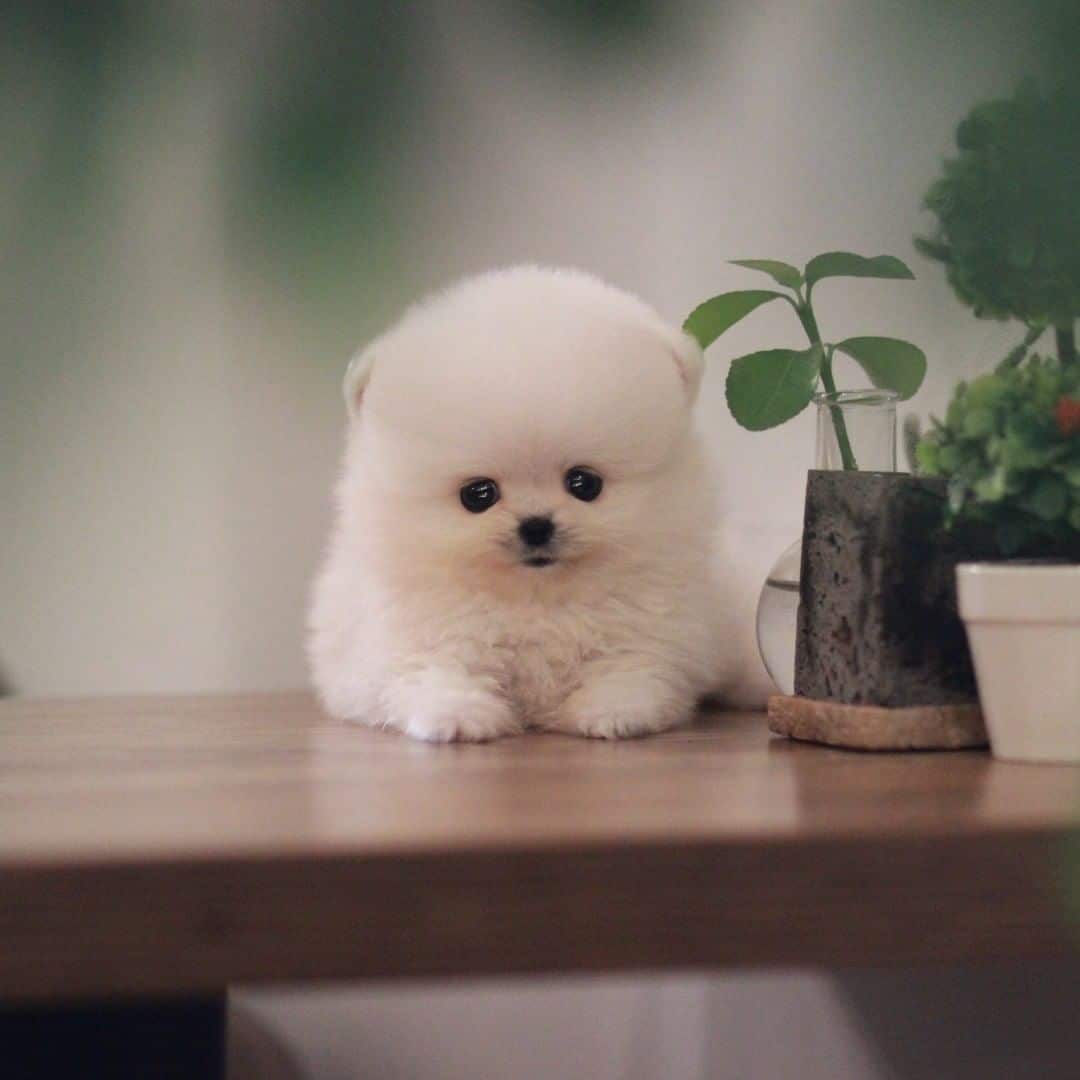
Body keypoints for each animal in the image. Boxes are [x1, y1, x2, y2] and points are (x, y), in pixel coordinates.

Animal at [308, 270, 756, 743]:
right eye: (478, 494)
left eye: (584, 483)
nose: (536, 525)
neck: (536, 599)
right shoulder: (416, 636)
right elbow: (436, 670)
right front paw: (459, 715)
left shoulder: (651, 627)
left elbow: (628, 667)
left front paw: (614, 712)